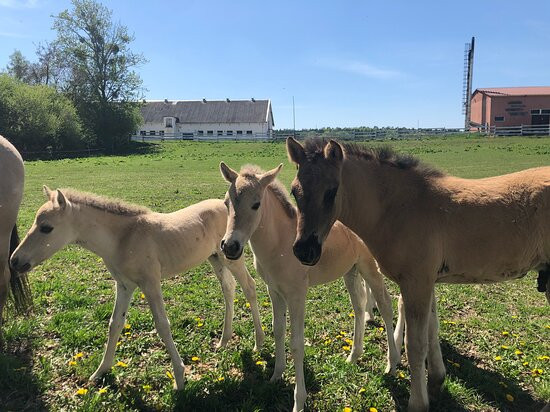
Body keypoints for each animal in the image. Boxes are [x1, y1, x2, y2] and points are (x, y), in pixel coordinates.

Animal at [288, 138, 550, 412]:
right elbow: (432, 331)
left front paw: (417, 402)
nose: (304, 250)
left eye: (331, 191)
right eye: (294, 191)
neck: (401, 207)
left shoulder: (416, 283)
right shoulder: (427, 281)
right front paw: (436, 382)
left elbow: (415, 345)